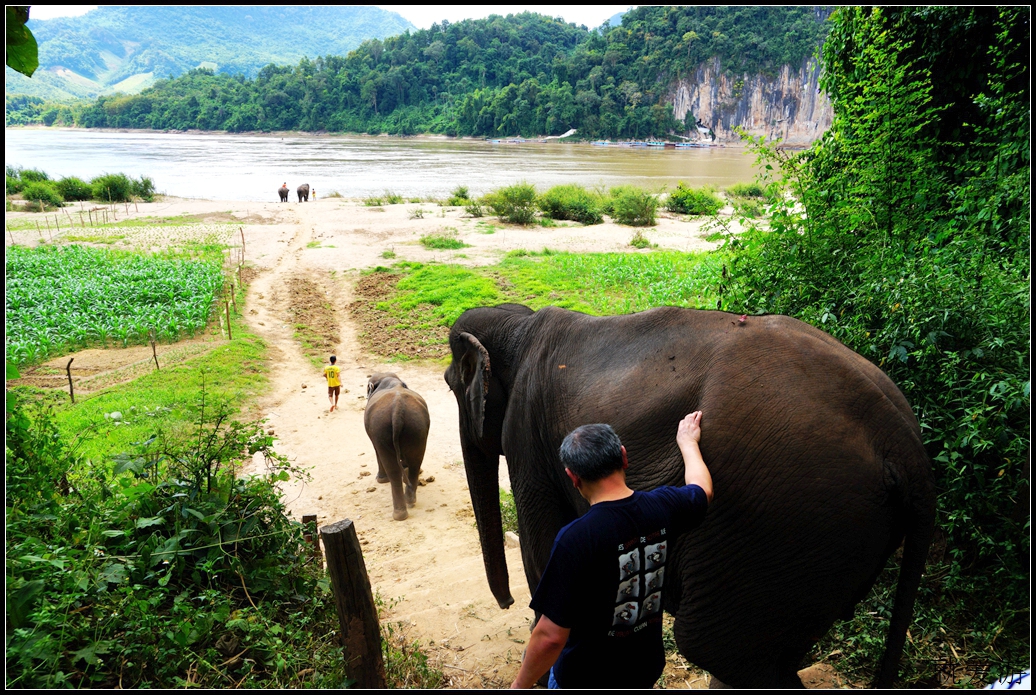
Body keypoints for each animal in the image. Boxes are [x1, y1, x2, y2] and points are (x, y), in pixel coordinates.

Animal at [364, 372, 428, 519]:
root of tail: (397, 410)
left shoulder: (375, 436)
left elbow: (377, 451)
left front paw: (380, 480)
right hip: (417, 427)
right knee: (416, 462)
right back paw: (410, 500)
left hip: (381, 429)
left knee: (392, 469)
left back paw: (399, 515)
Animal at [441, 306, 936, 691]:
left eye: (449, 384)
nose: (504, 602)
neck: (519, 325)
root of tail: (906, 445)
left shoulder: (528, 437)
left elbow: (544, 559)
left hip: (789, 513)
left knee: (719, 650)